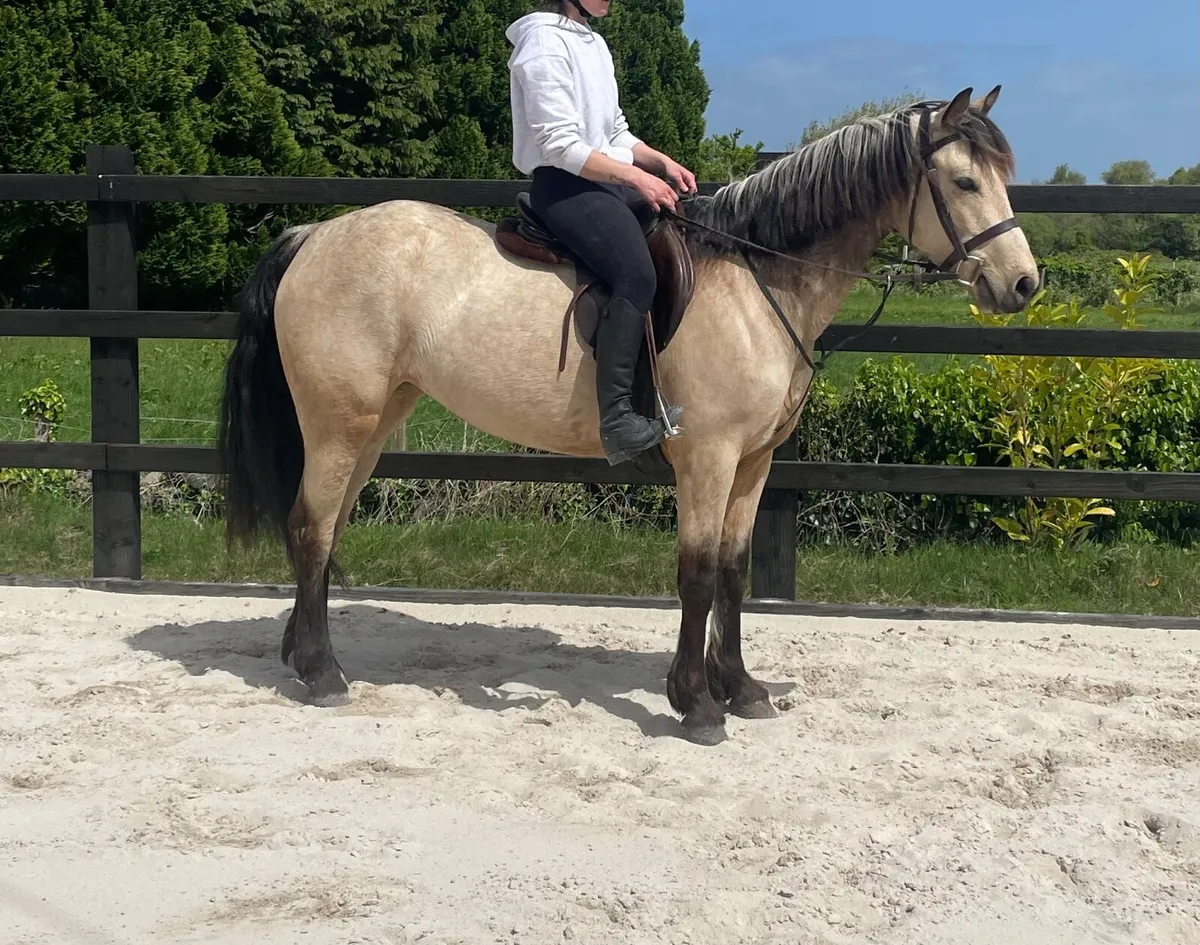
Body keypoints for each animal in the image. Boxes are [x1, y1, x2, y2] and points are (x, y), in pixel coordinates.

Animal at [217, 85, 1039, 746]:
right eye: (964, 179)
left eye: (1003, 178)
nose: (1024, 285)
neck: (759, 279)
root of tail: (314, 236)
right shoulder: (707, 457)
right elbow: (697, 574)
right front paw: (696, 704)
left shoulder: (754, 462)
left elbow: (734, 571)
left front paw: (741, 689)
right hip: (339, 423)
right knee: (311, 527)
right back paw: (322, 673)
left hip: (372, 423)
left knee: (322, 528)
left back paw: (301, 655)